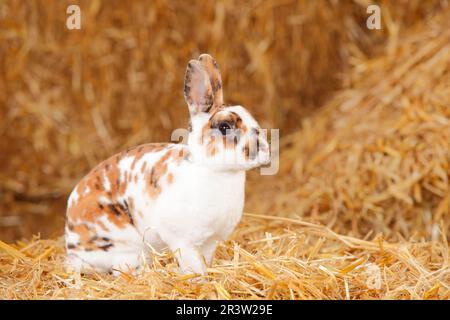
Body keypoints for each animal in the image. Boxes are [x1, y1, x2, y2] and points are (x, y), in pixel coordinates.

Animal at [64, 54, 268, 276]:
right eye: (224, 127)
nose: (263, 148)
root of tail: (72, 249)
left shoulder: (209, 242)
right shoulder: (183, 242)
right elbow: (193, 266)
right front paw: (197, 279)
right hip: (126, 247)